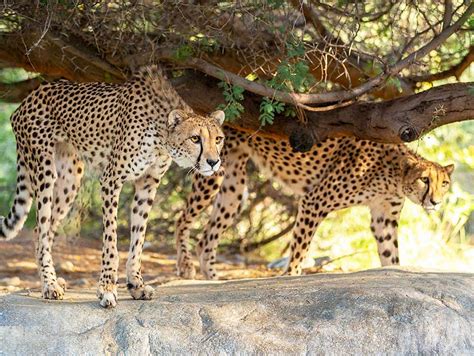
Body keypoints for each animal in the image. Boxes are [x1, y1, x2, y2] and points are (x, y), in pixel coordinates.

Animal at [0, 67, 226, 308]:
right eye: (195, 138)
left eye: (218, 139)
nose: (214, 162)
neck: (161, 136)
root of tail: (27, 99)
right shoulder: (111, 180)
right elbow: (111, 240)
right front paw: (107, 288)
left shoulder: (148, 184)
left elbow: (139, 239)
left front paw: (136, 285)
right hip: (44, 171)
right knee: (41, 228)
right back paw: (49, 285)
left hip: (70, 180)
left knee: (42, 229)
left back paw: (54, 280)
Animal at [174, 126, 452, 280]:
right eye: (425, 180)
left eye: (445, 184)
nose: (436, 201)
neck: (395, 175)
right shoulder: (314, 201)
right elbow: (300, 247)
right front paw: (290, 275)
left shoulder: (383, 219)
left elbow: (390, 254)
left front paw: (394, 272)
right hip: (212, 175)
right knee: (182, 220)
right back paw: (186, 267)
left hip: (234, 189)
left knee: (206, 238)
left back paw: (213, 279)